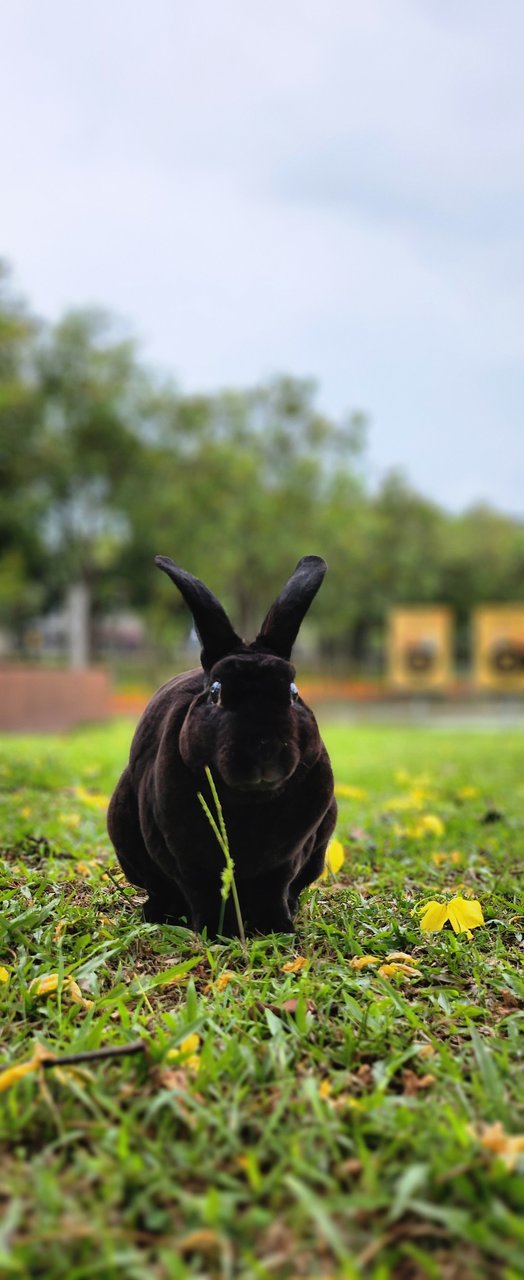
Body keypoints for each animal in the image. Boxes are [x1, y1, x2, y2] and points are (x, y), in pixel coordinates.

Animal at [106, 555, 335, 936]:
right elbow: (205, 893)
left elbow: (275, 889)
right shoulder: (189, 860)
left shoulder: (288, 860)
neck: (250, 801)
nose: (264, 748)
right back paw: (158, 914)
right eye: (216, 693)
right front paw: (217, 932)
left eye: (292, 693)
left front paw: (279, 930)